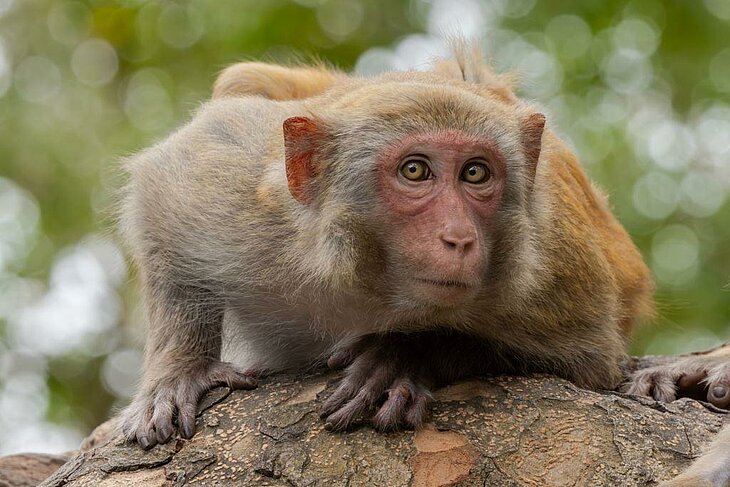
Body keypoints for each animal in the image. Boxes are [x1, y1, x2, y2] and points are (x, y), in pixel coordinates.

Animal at [118, 44, 729, 484]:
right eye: (415, 171)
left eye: (476, 173)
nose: (458, 236)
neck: (370, 279)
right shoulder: (243, 192)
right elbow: (164, 192)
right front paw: (182, 369)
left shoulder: (549, 265)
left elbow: (588, 360)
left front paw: (403, 355)